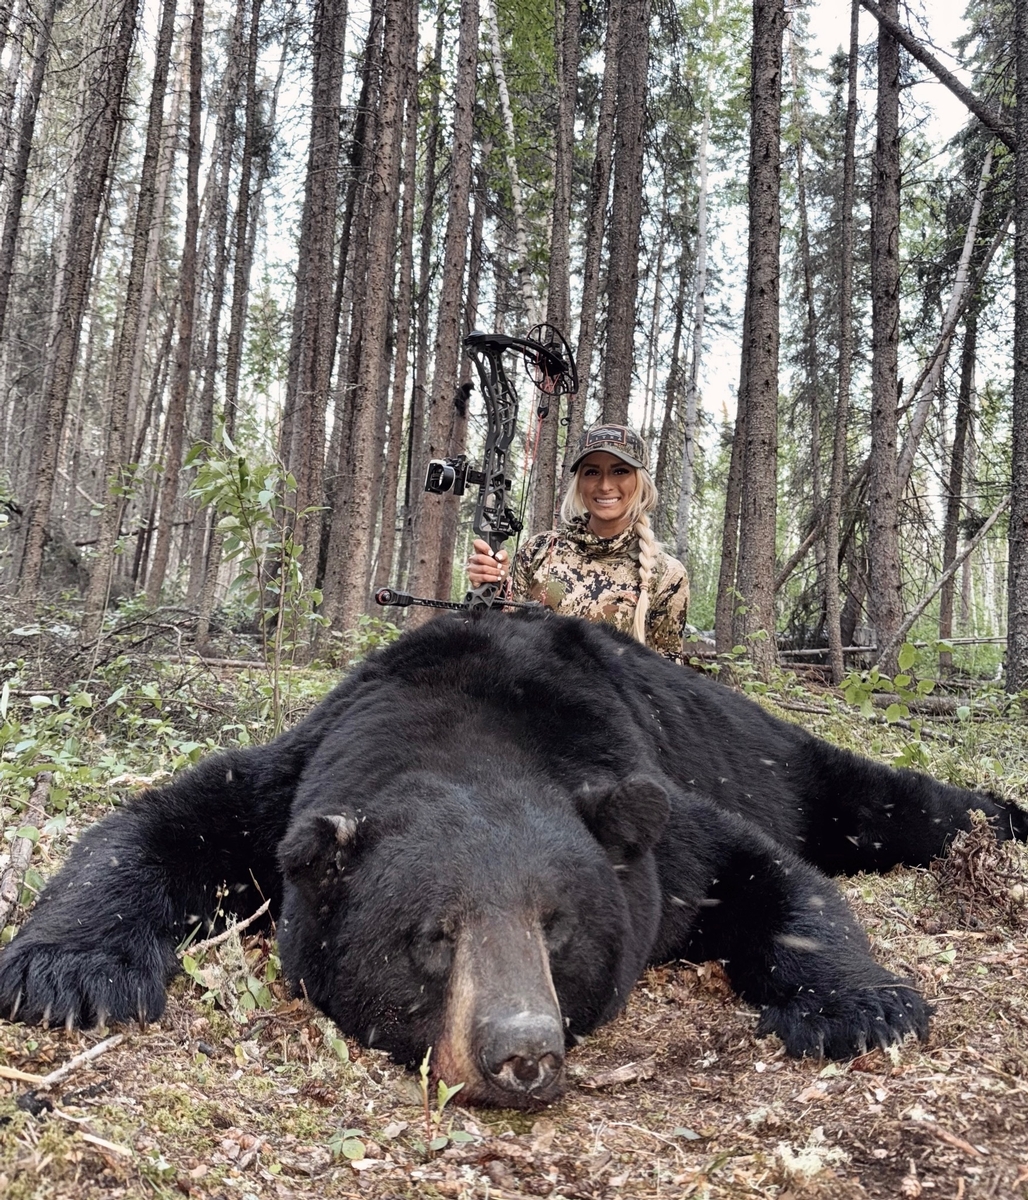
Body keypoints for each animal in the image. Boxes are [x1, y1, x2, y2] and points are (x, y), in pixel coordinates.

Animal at [1, 610, 1025, 1108]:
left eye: (556, 927)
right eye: (432, 936)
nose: (523, 1054)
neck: (468, 723)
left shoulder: (653, 821)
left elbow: (769, 873)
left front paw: (861, 1007)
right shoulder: (288, 784)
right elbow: (160, 823)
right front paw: (68, 973)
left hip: (780, 755)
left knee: (882, 801)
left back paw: (1000, 819)